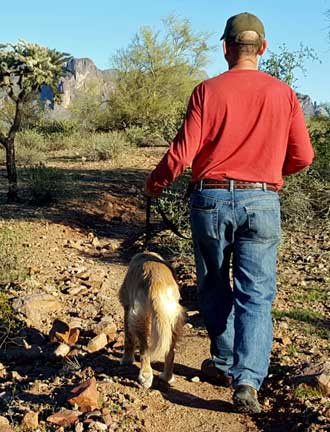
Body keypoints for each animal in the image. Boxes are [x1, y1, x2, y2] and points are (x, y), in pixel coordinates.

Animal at [118, 250, 186, 388]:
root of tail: (156, 281)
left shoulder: (127, 307)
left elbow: (128, 339)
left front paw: (126, 359)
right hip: (174, 318)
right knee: (170, 352)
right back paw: (167, 377)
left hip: (139, 317)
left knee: (145, 350)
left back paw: (145, 377)